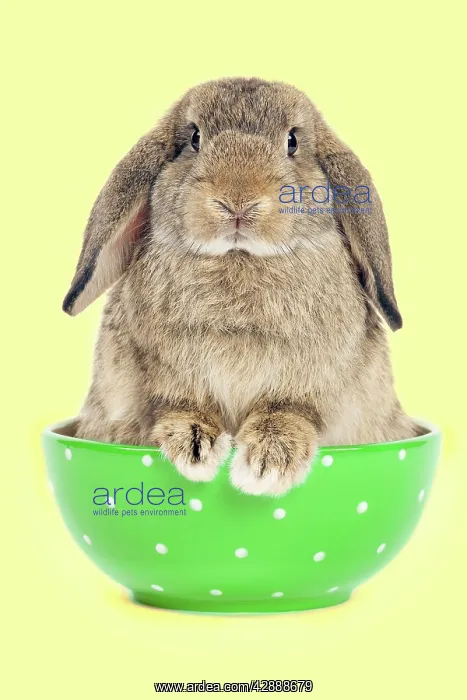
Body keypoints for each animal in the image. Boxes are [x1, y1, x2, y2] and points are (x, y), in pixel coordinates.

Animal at [62, 77, 421, 496]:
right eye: (195, 138)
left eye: (292, 141)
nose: (237, 200)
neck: (239, 257)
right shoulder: (165, 382)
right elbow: (179, 406)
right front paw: (195, 448)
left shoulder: (307, 387)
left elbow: (287, 412)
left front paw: (266, 465)